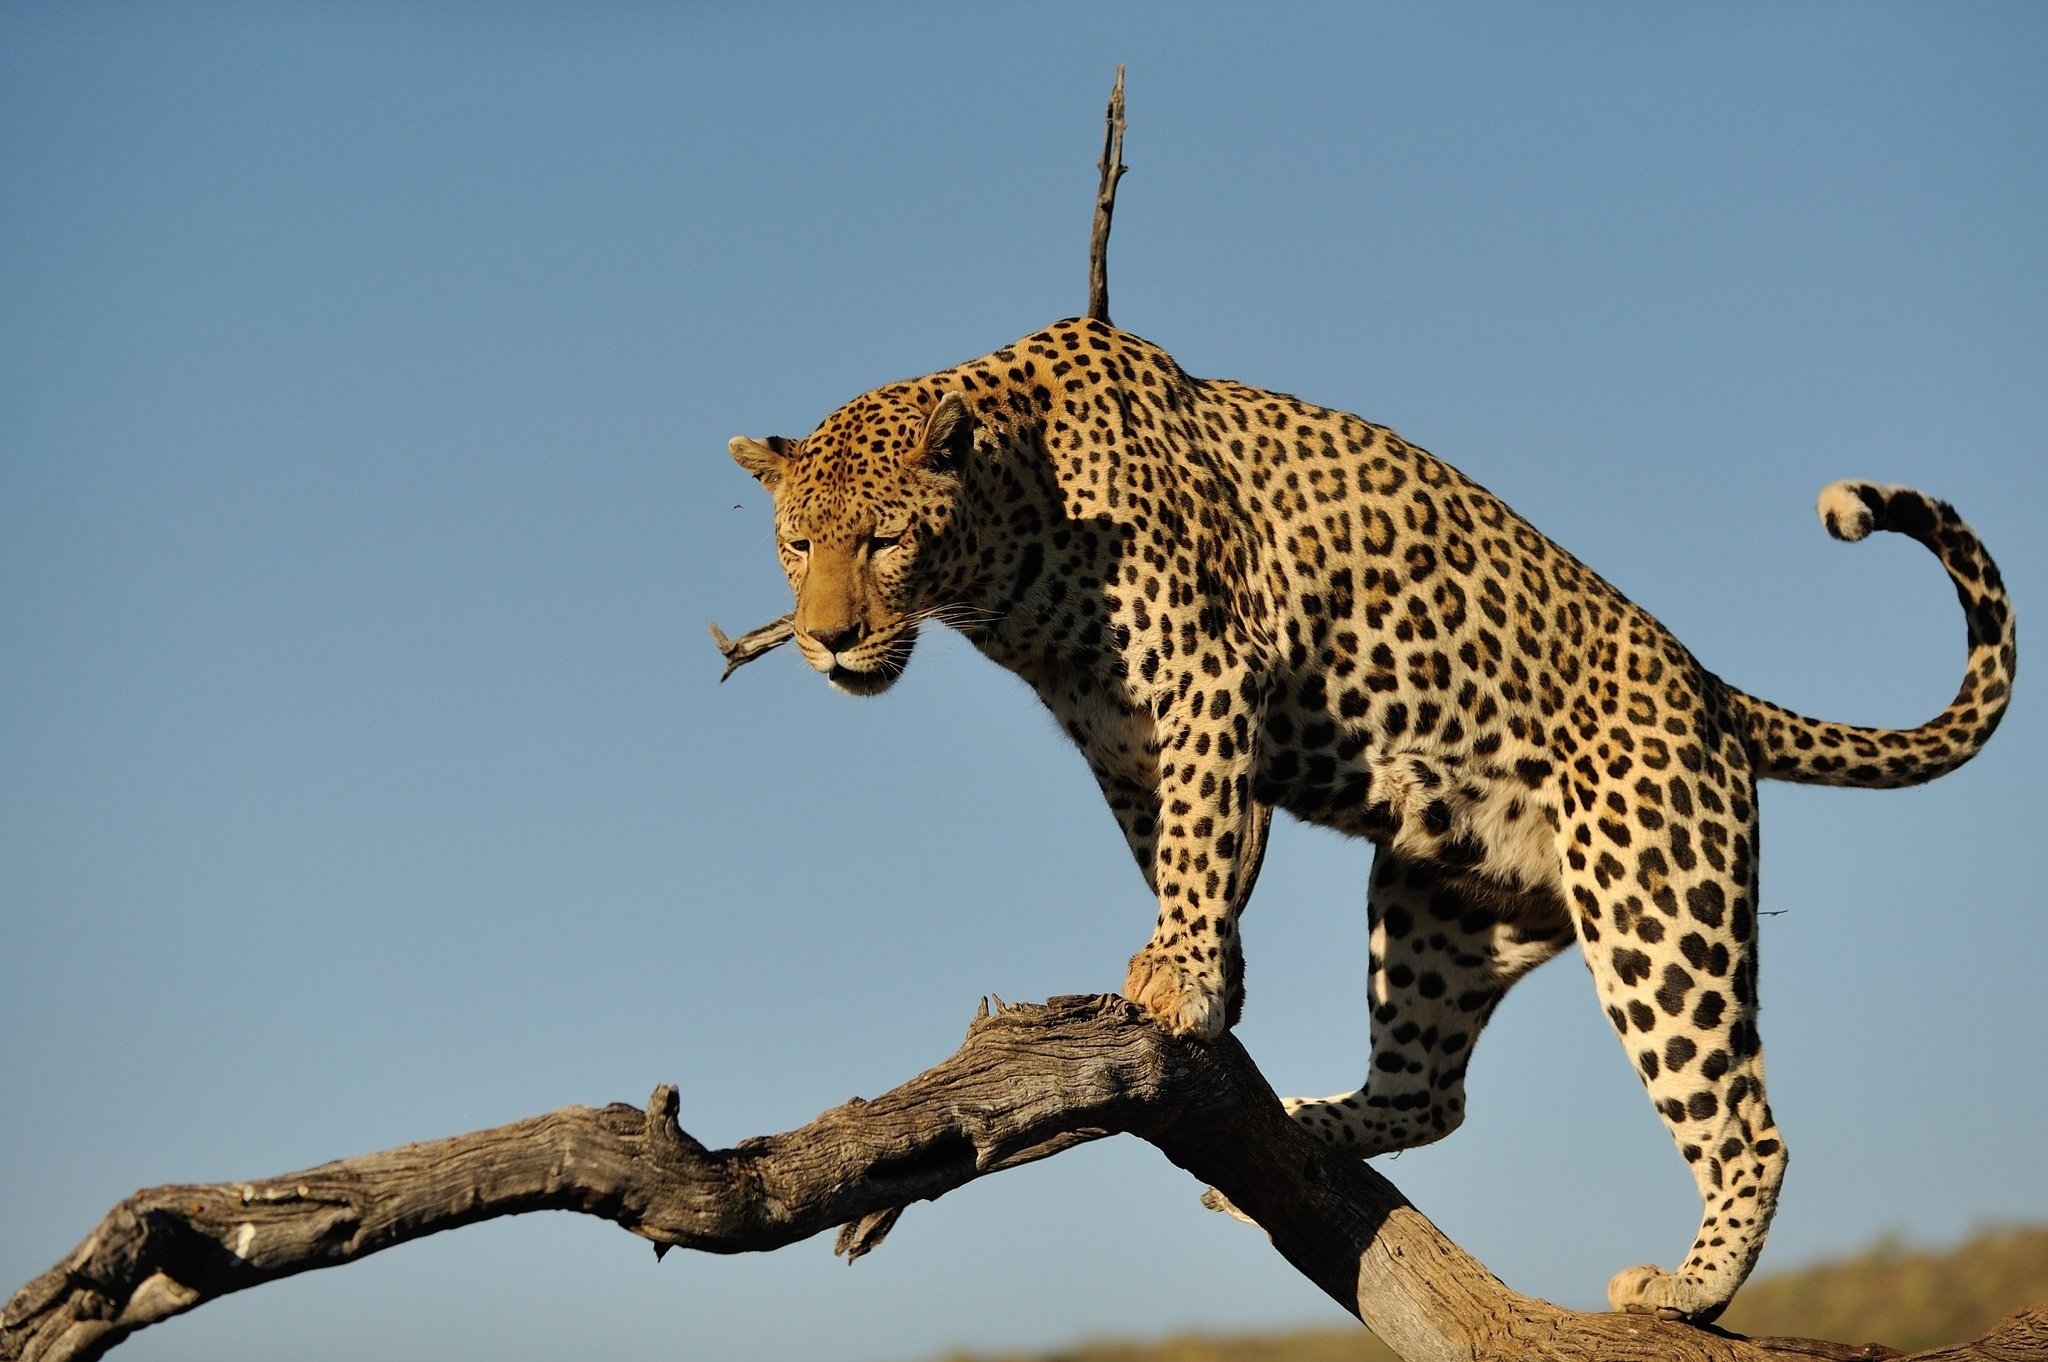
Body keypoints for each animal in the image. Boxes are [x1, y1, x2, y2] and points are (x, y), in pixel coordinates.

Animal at [727, 317, 2015, 1324]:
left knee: (1743, 1124)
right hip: (1434, 903)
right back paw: (1303, 1128)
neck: (1009, 549)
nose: (826, 638)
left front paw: (1178, 977)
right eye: (793, 544)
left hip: (1654, 902)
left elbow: (1196, 842)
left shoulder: (1204, 676)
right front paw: (1212, 977)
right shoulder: (1121, 736)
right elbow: (1188, 847)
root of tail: (1706, 685)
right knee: (1431, 1094)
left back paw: (1686, 1291)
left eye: (883, 540)